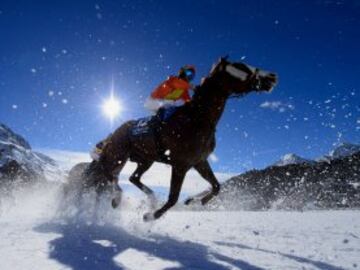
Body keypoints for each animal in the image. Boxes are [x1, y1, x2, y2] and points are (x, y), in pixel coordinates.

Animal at [67, 57, 278, 221]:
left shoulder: (199, 161)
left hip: (145, 159)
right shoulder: (181, 164)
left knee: (131, 177)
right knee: (109, 176)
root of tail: (114, 133)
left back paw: (150, 198)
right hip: (118, 156)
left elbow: (216, 186)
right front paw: (150, 216)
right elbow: (173, 198)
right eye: (241, 67)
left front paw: (195, 200)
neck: (198, 119)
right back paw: (117, 199)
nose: (272, 77)